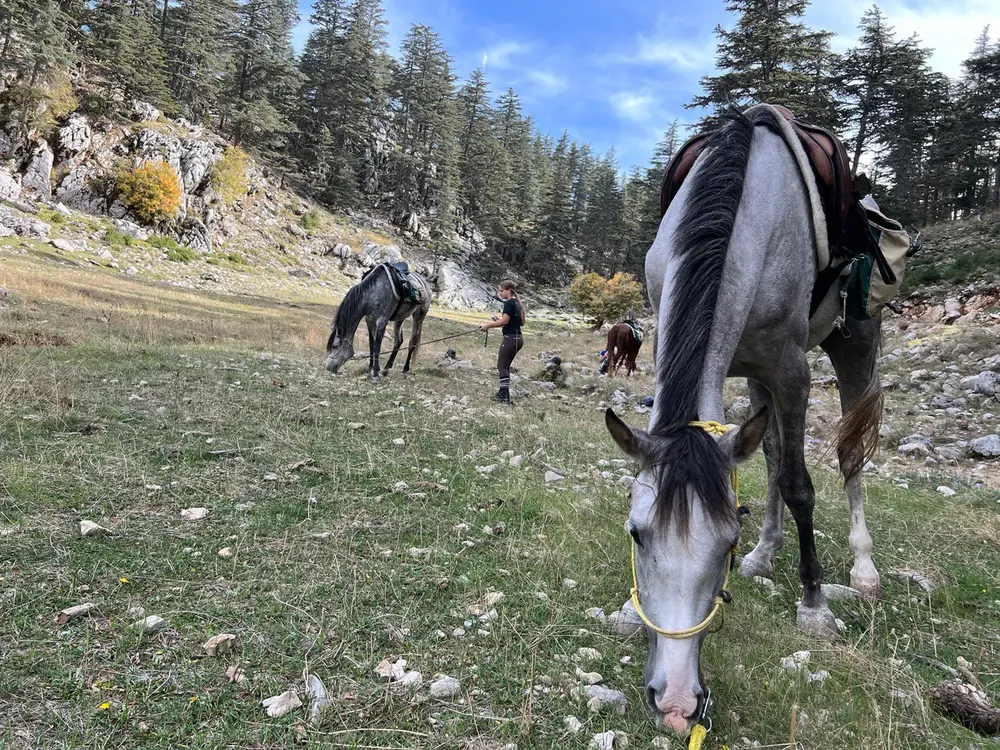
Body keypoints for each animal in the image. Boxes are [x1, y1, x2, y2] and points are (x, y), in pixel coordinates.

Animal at [604, 106, 883, 734]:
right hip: (755, 374)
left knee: (848, 455)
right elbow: (777, 465)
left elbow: (801, 485)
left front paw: (813, 604)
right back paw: (768, 553)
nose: (676, 704)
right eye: (636, 534)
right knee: (774, 450)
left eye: (725, 542)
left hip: (852, 347)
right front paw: (630, 609)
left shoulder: (792, 369)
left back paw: (862, 568)